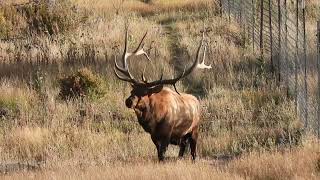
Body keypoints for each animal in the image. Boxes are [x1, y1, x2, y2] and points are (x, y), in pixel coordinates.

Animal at [114, 26, 211, 160]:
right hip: (182, 137)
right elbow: (159, 155)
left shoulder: (167, 134)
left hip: (194, 130)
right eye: (132, 90)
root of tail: (197, 101)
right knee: (182, 150)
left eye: (144, 93)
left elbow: (162, 155)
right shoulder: (154, 136)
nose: (128, 101)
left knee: (193, 152)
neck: (154, 120)